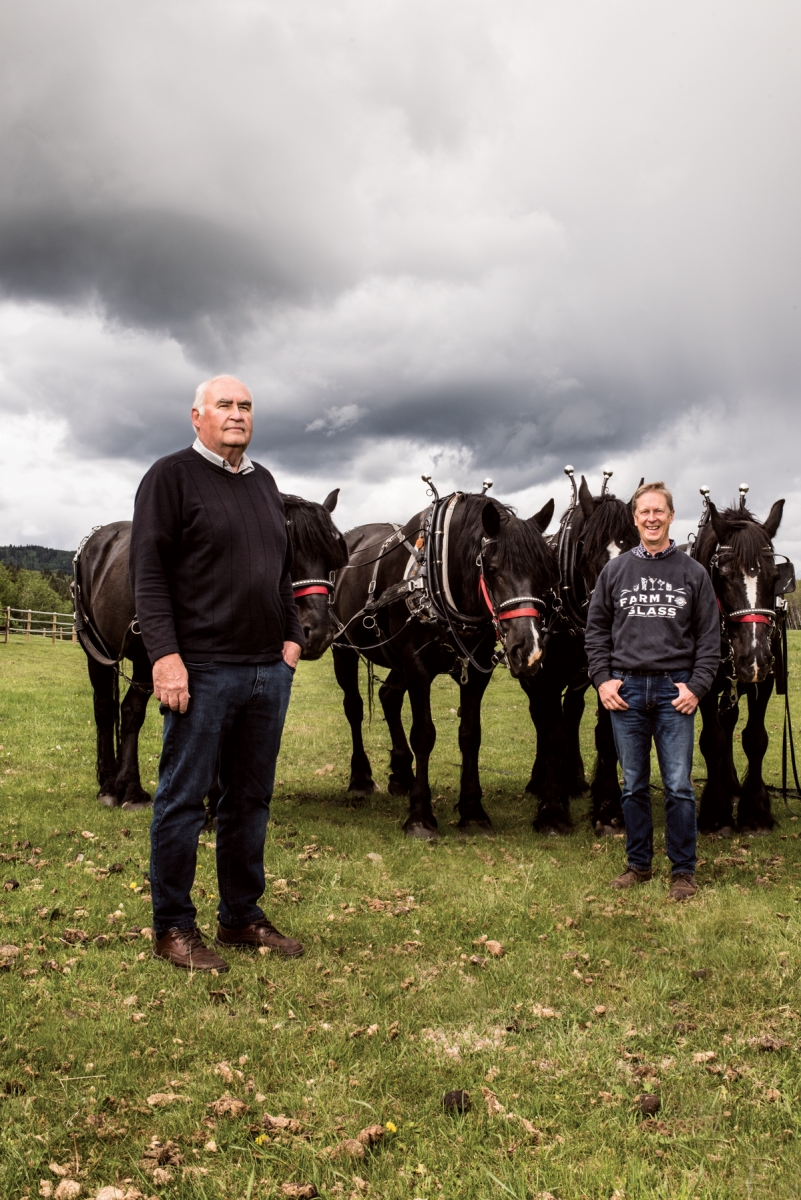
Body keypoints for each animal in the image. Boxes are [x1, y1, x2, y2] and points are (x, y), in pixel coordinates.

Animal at [75, 484, 347, 806]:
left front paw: (216, 796)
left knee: (130, 711)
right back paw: (109, 785)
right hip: (101, 648)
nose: (318, 633)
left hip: (144, 660)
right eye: (288, 553)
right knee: (105, 707)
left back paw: (128, 787)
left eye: (331, 560)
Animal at [330, 492, 556, 840]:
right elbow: (423, 734)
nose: (528, 650)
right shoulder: (416, 664)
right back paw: (361, 779)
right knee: (354, 707)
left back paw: (401, 773)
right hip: (344, 648)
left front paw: (473, 812)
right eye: (492, 569)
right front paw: (421, 817)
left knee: (388, 696)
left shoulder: (477, 669)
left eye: (544, 572)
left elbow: (471, 734)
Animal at [520, 470, 637, 835]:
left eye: (638, 546)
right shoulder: (543, 677)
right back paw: (541, 780)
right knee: (542, 719)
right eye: (588, 547)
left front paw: (609, 809)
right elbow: (552, 733)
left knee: (571, 712)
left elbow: (606, 735)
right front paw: (552, 810)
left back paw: (574, 779)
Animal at [695, 496, 786, 835]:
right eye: (722, 577)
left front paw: (755, 810)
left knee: (731, 720)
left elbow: (755, 738)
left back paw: (733, 785)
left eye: (775, 577)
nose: (754, 657)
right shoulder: (705, 685)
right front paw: (715, 812)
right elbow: (713, 740)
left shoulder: (765, 681)